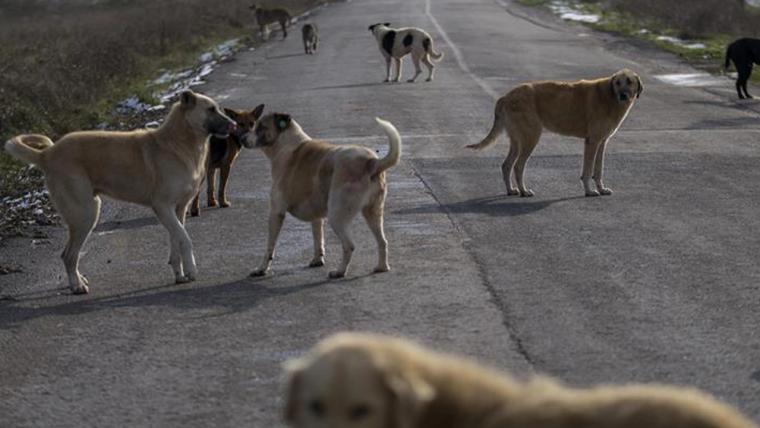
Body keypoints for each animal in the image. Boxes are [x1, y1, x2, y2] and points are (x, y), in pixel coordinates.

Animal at [3, 90, 235, 294]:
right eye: (211, 109)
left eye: (218, 108)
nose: (233, 125)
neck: (179, 142)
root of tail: (47, 154)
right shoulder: (162, 207)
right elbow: (185, 239)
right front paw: (192, 270)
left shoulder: (178, 209)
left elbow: (176, 240)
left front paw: (180, 274)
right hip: (86, 213)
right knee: (68, 255)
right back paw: (77, 286)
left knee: (70, 255)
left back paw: (79, 280)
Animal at [240, 108, 400, 280]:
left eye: (261, 127)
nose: (242, 139)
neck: (285, 144)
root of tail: (371, 162)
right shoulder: (316, 216)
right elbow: (318, 238)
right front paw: (318, 259)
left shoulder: (276, 213)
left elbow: (270, 246)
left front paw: (262, 269)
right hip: (373, 213)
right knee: (382, 241)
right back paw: (382, 267)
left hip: (337, 216)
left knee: (349, 245)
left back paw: (340, 271)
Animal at [470, 68, 640, 197]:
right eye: (617, 83)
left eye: (629, 82)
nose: (623, 95)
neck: (609, 96)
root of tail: (506, 96)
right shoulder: (592, 142)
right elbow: (588, 170)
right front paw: (589, 191)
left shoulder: (601, 142)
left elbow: (598, 170)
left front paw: (601, 189)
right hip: (530, 138)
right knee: (518, 166)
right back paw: (524, 191)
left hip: (518, 140)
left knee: (506, 165)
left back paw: (511, 190)